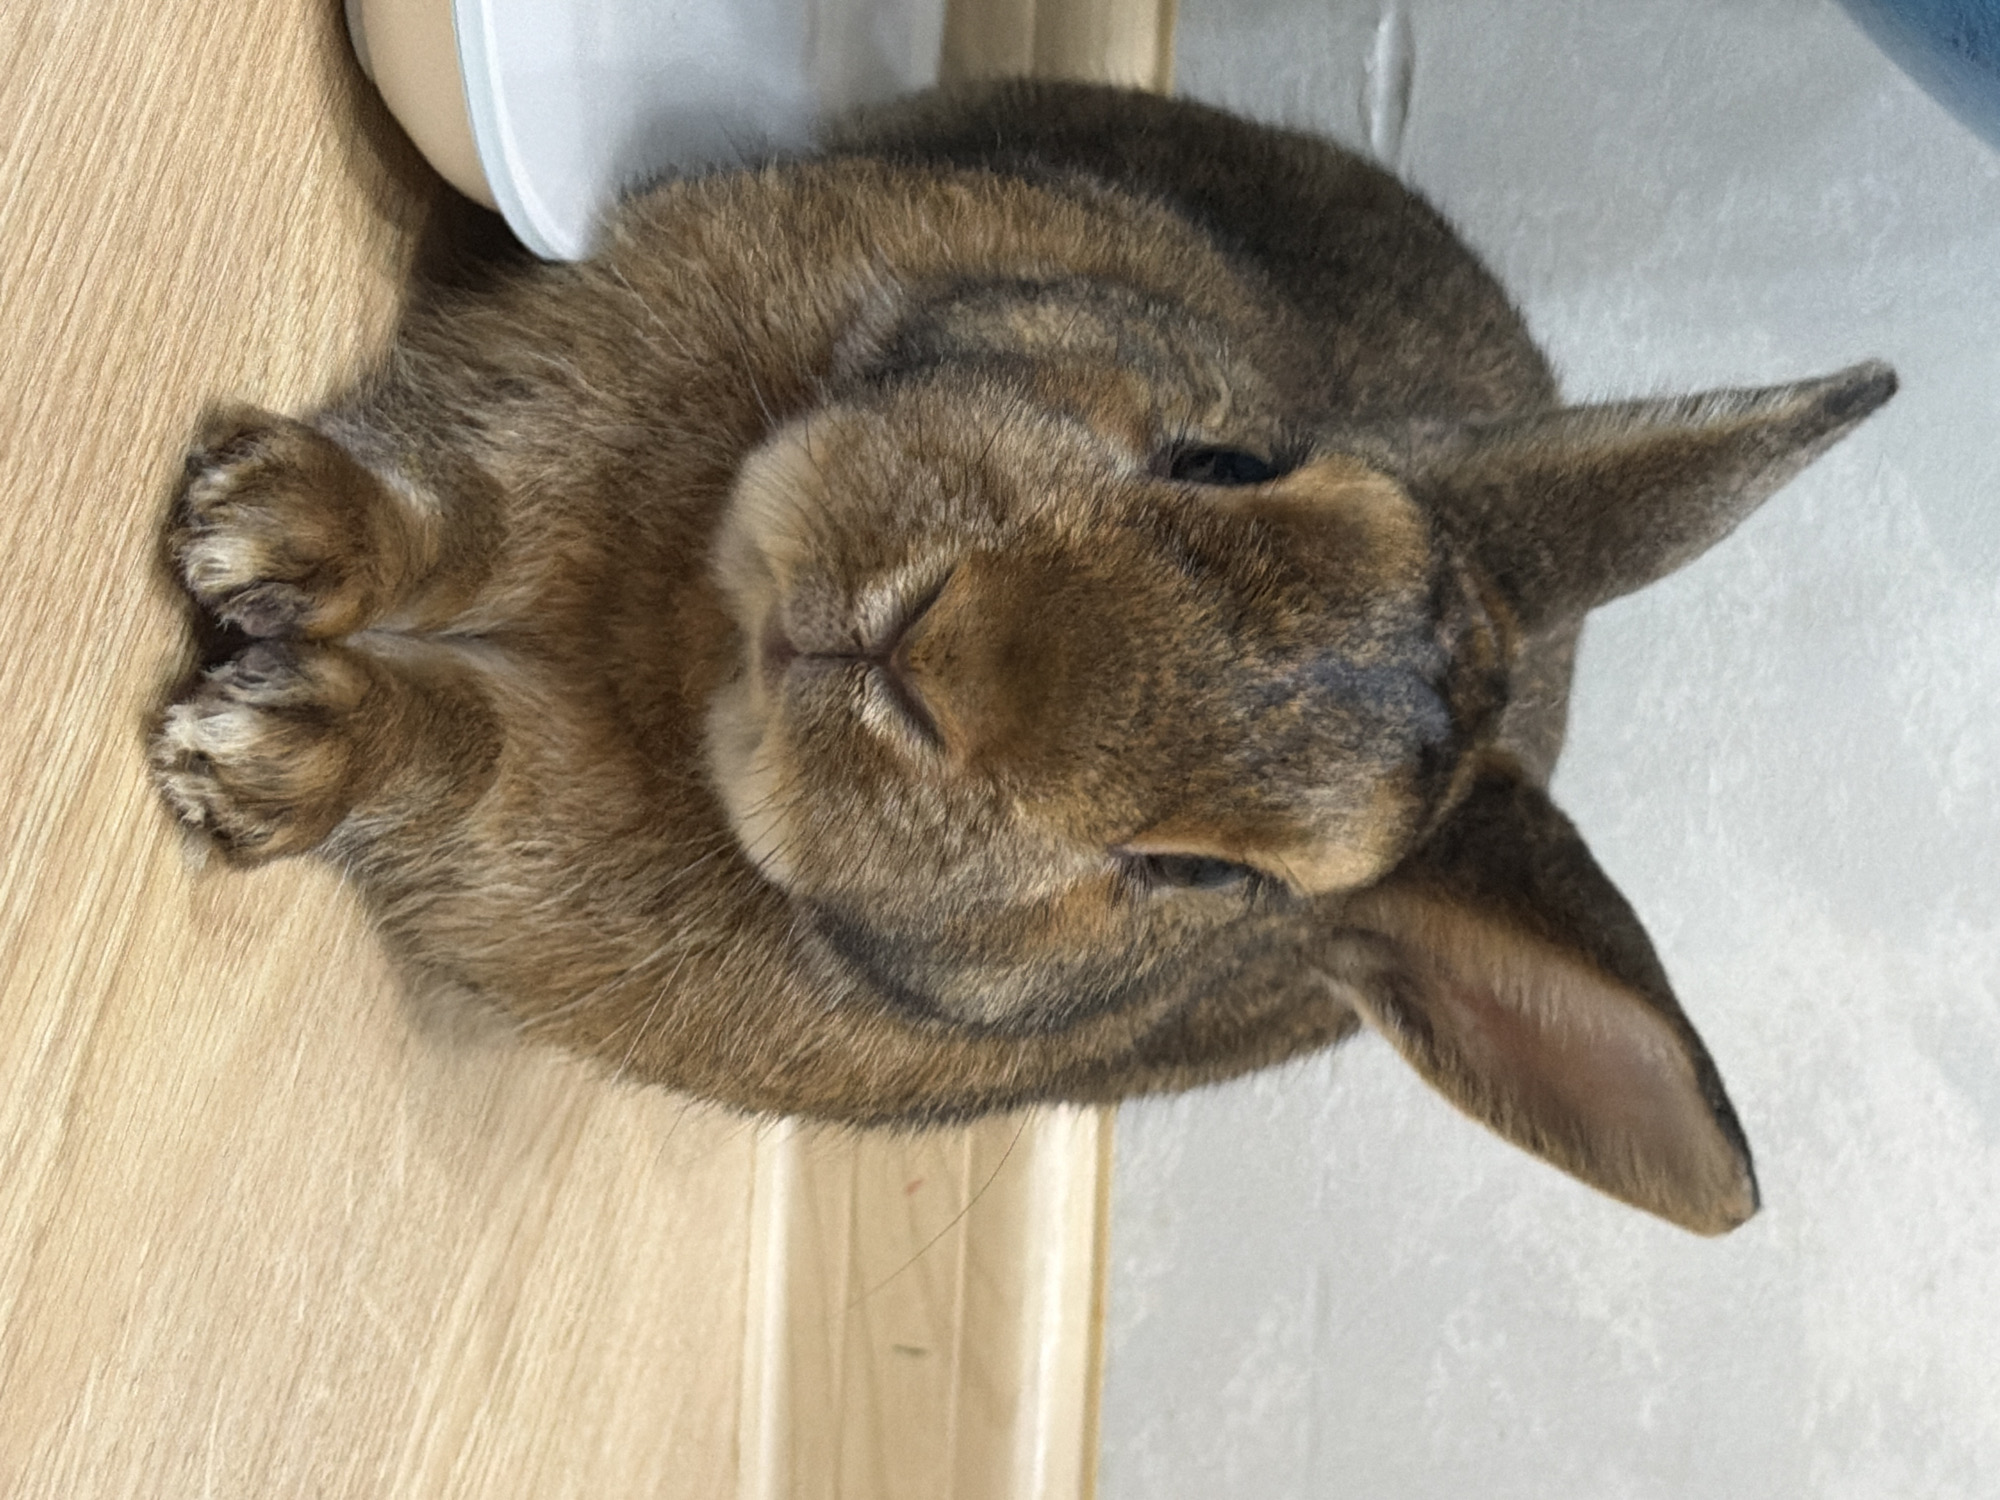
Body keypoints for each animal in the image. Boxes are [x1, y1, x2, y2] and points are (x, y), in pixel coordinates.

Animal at [149, 80, 1895, 1235]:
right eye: (1226, 462)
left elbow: (444, 742)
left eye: (1205, 876)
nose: (934, 653)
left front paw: (255, 749)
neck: (681, 645)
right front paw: (267, 529)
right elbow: (449, 513)